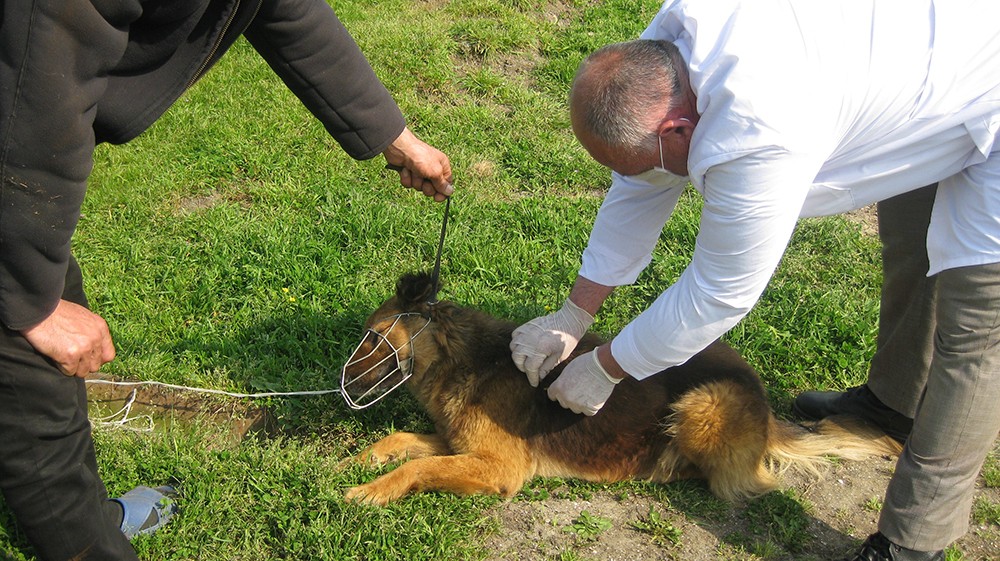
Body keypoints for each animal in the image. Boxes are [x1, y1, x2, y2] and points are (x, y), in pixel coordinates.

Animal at [342, 272, 900, 504]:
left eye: (371, 337)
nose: (342, 386)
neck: (460, 358)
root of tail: (763, 405)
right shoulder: (460, 442)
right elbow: (402, 442)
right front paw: (360, 461)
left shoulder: (501, 466)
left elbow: (419, 467)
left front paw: (372, 490)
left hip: (704, 405)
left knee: (734, 480)